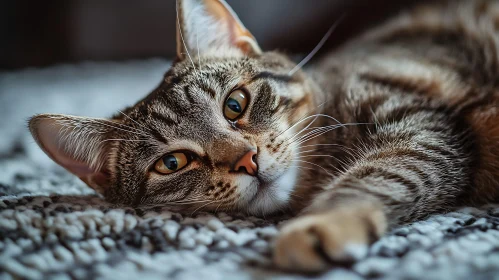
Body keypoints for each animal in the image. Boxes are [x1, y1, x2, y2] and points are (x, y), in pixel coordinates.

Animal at [29, 0, 499, 272]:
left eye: (235, 104)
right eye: (172, 162)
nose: (245, 160)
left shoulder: (423, 126)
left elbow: (380, 175)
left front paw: (323, 223)